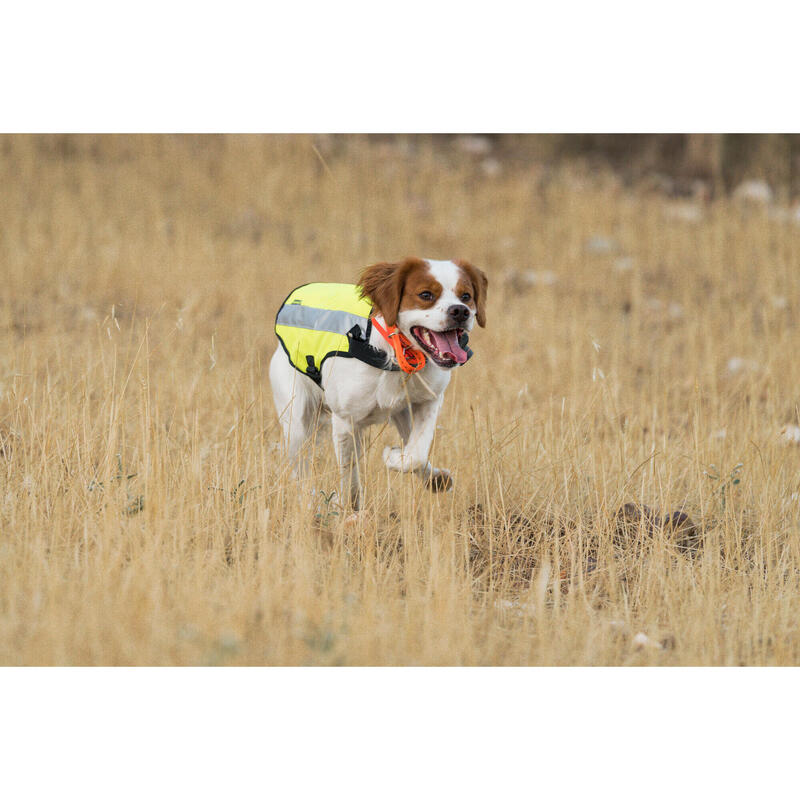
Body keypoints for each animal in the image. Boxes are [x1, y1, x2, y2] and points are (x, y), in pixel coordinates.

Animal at [268, 256, 488, 510]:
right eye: (425, 295)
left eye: (466, 296)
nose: (461, 311)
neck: (394, 355)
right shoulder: (345, 421)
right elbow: (349, 477)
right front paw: (349, 507)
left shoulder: (428, 401)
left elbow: (416, 454)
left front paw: (402, 461)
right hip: (296, 422)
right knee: (300, 472)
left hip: (399, 412)